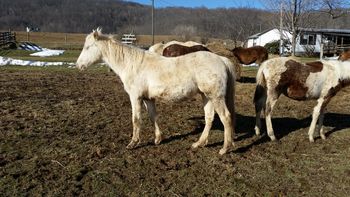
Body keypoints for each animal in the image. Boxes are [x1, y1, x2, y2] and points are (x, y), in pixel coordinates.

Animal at [75, 28, 237, 155]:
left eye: (88, 47)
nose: (78, 65)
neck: (132, 64)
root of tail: (222, 59)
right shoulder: (148, 98)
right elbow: (153, 116)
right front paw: (158, 139)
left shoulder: (135, 97)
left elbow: (136, 119)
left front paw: (133, 143)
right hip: (206, 96)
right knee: (209, 118)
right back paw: (199, 144)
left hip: (216, 97)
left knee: (226, 117)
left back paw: (225, 149)